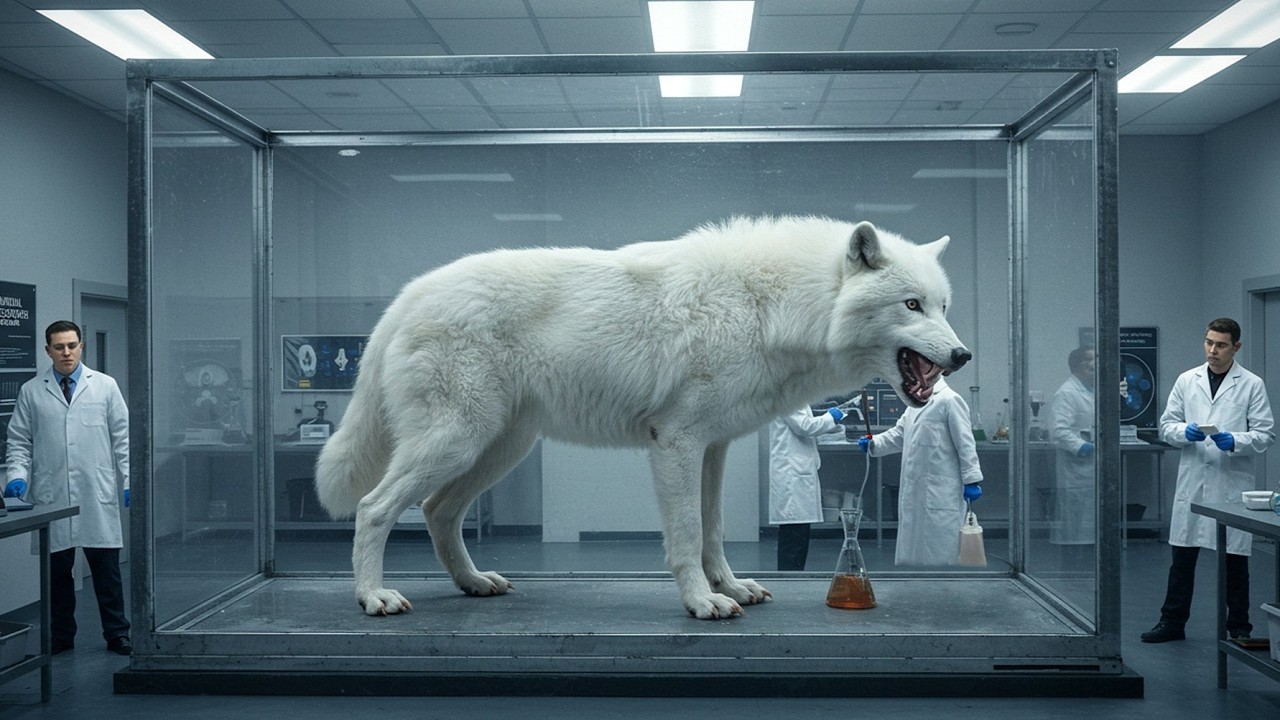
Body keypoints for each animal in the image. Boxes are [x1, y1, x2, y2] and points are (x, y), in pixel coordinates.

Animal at [315, 215, 970, 619]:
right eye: (911, 304)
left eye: (944, 306)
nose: (962, 355)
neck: (772, 305)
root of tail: (408, 296)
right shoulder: (675, 441)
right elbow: (685, 535)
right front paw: (702, 604)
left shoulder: (714, 447)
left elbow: (712, 532)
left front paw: (731, 587)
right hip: (457, 442)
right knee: (374, 507)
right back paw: (373, 596)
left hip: (496, 450)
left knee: (436, 512)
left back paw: (474, 583)